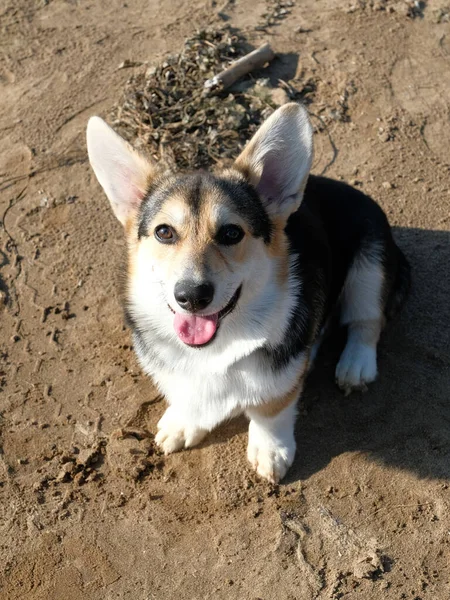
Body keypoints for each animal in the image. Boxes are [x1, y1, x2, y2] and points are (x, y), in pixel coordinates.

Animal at [86, 103, 410, 482]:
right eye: (164, 232)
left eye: (231, 233)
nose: (192, 296)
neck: (216, 346)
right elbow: (187, 394)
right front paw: (184, 421)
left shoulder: (280, 373)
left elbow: (271, 407)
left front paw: (271, 450)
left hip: (370, 267)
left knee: (367, 321)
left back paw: (355, 364)